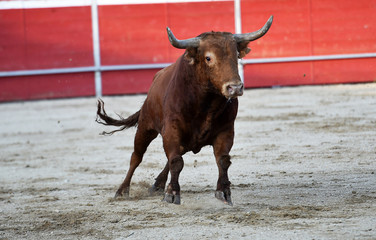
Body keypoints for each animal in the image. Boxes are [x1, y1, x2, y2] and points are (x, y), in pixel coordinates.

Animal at [96, 15, 274, 205]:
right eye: (208, 58)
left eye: (236, 55)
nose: (235, 88)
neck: (206, 103)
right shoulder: (172, 130)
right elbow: (176, 161)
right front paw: (172, 193)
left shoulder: (226, 130)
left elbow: (223, 160)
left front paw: (224, 191)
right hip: (146, 127)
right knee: (137, 156)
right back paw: (122, 190)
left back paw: (157, 185)